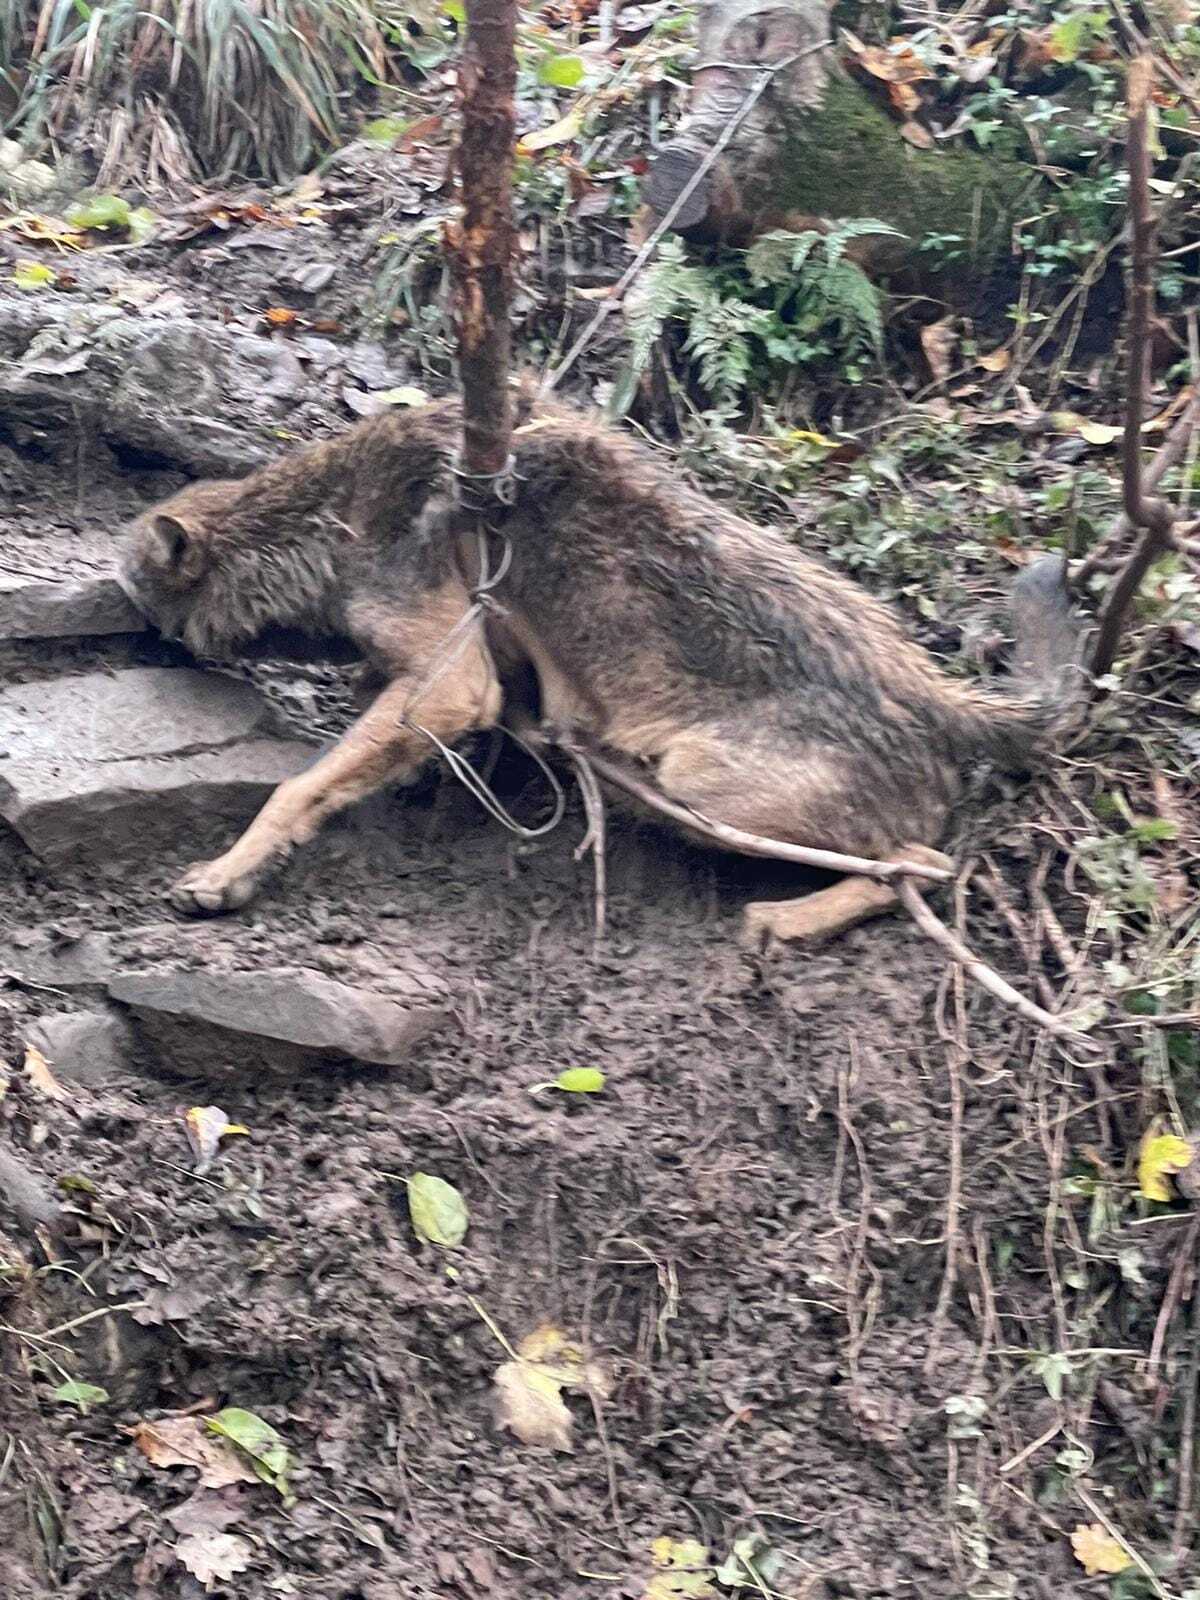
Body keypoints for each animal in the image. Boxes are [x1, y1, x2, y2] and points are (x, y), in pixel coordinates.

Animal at [117, 395, 1088, 940]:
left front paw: (224, 874)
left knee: (924, 868)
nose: (123, 624)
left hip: (699, 787)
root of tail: (931, 690)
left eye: (140, 598)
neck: (328, 520)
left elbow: (297, 786)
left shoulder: (449, 685)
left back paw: (783, 923)